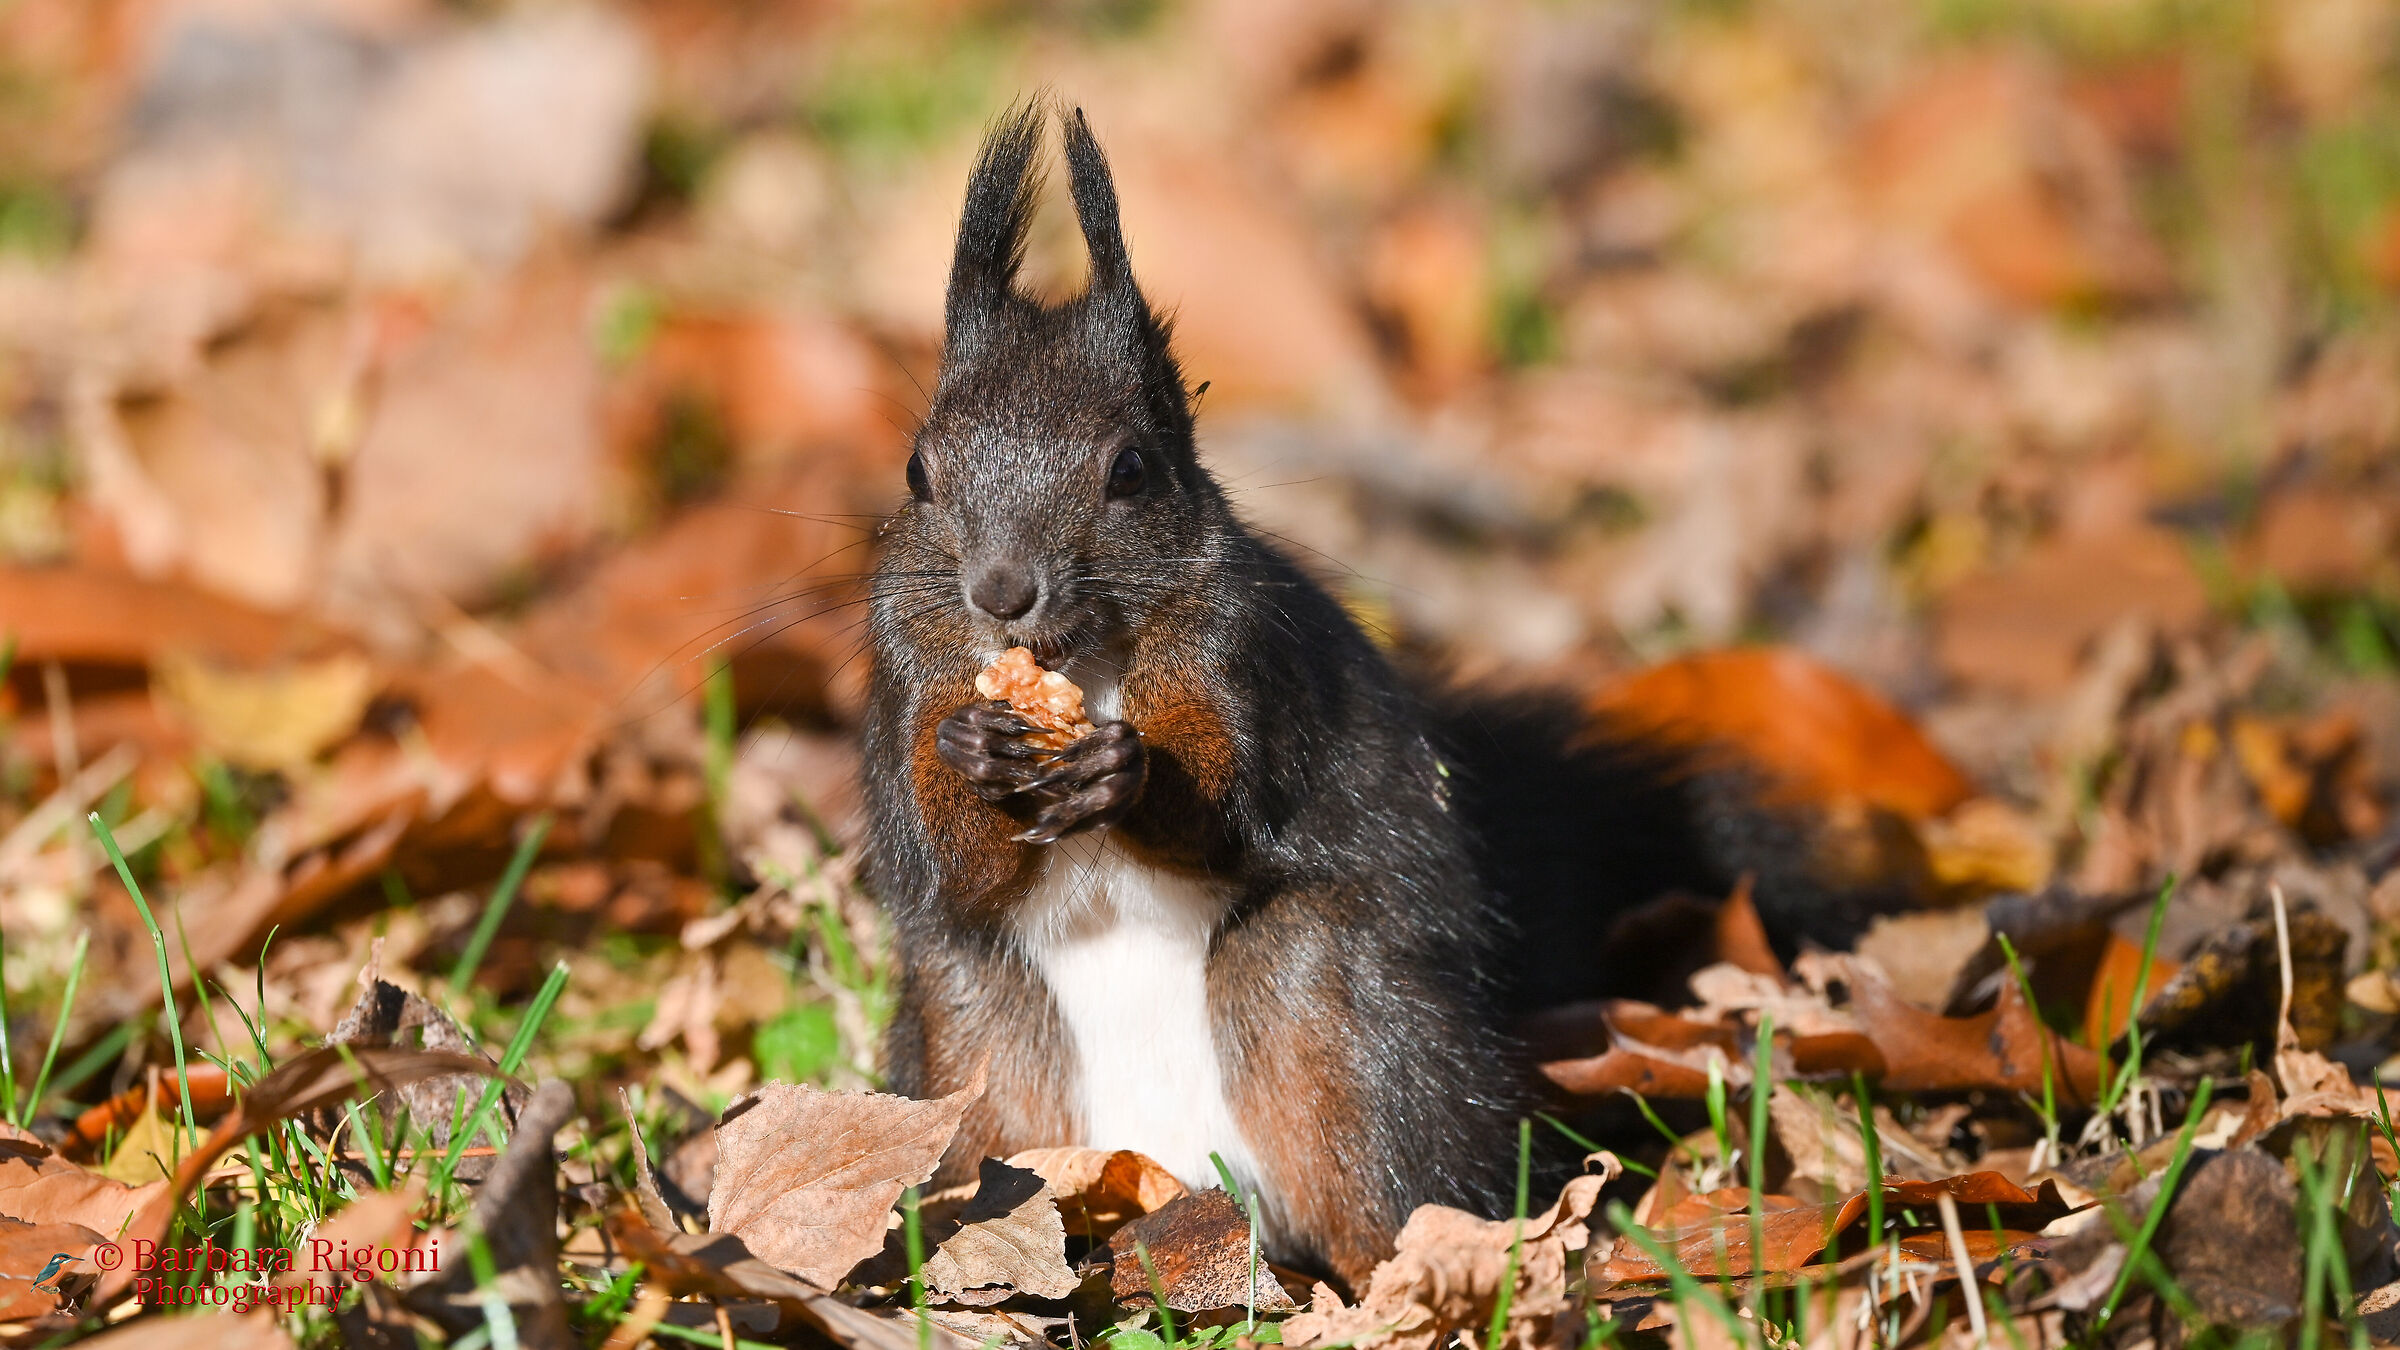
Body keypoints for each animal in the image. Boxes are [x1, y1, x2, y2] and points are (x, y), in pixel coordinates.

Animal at [862, 103, 1893, 1287]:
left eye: (1130, 470)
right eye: (917, 473)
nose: (1001, 592)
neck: (1082, 664)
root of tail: (1159, 1184)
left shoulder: (1242, 658)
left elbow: (1224, 803)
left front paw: (1127, 772)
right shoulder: (904, 678)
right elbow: (953, 872)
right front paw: (978, 754)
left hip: (1341, 1029)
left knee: (1389, 1163)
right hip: (970, 1056)